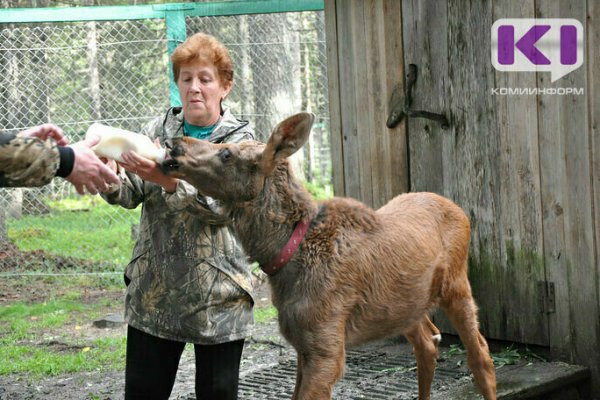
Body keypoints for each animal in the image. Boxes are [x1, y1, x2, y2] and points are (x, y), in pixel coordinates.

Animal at [161, 112, 496, 400]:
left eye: (227, 153)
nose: (175, 144)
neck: (283, 258)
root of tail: (460, 211)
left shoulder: (326, 347)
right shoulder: (302, 344)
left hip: (457, 287)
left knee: (481, 356)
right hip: (406, 307)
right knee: (428, 345)